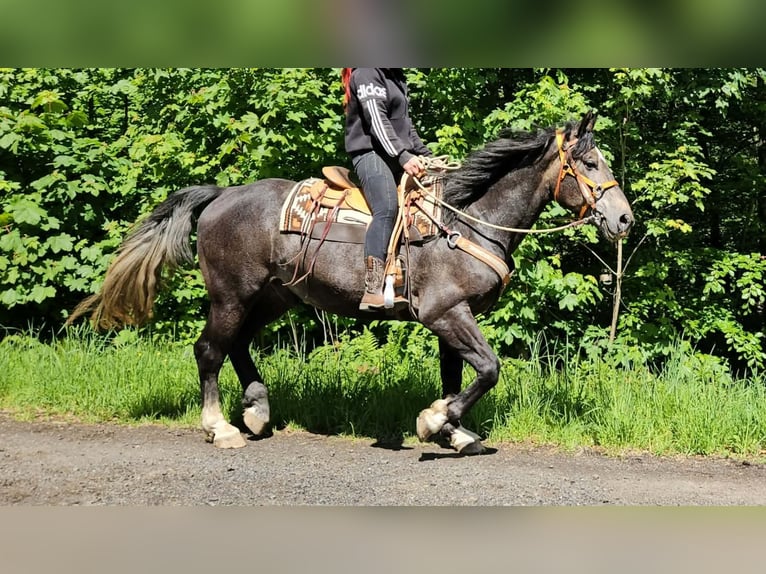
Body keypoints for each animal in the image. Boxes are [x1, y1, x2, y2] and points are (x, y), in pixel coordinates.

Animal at [67, 110, 634, 455]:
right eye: (589, 162)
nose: (624, 219)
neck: (466, 219)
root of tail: (222, 195)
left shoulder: (450, 317)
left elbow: (458, 376)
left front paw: (453, 431)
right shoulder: (445, 313)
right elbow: (488, 370)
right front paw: (433, 423)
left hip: (272, 297)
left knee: (239, 346)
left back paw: (257, 411)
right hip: (231, 294)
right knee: (210, 350)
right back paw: (221, 427)